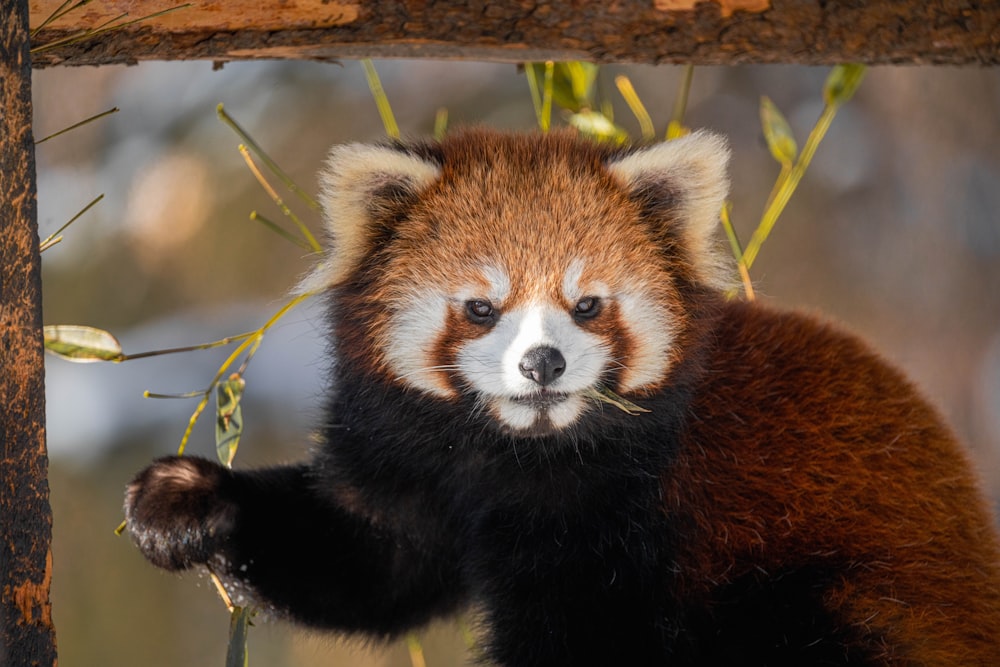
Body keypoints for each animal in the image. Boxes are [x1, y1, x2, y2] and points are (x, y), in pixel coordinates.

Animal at [123, 128, 1000, 664]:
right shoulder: (413, 464)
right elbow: (372, 559)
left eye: (587, 305)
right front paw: (186, 500)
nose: (543, 362)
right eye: (482, 307)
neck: (517, 455)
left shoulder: (640, 526)